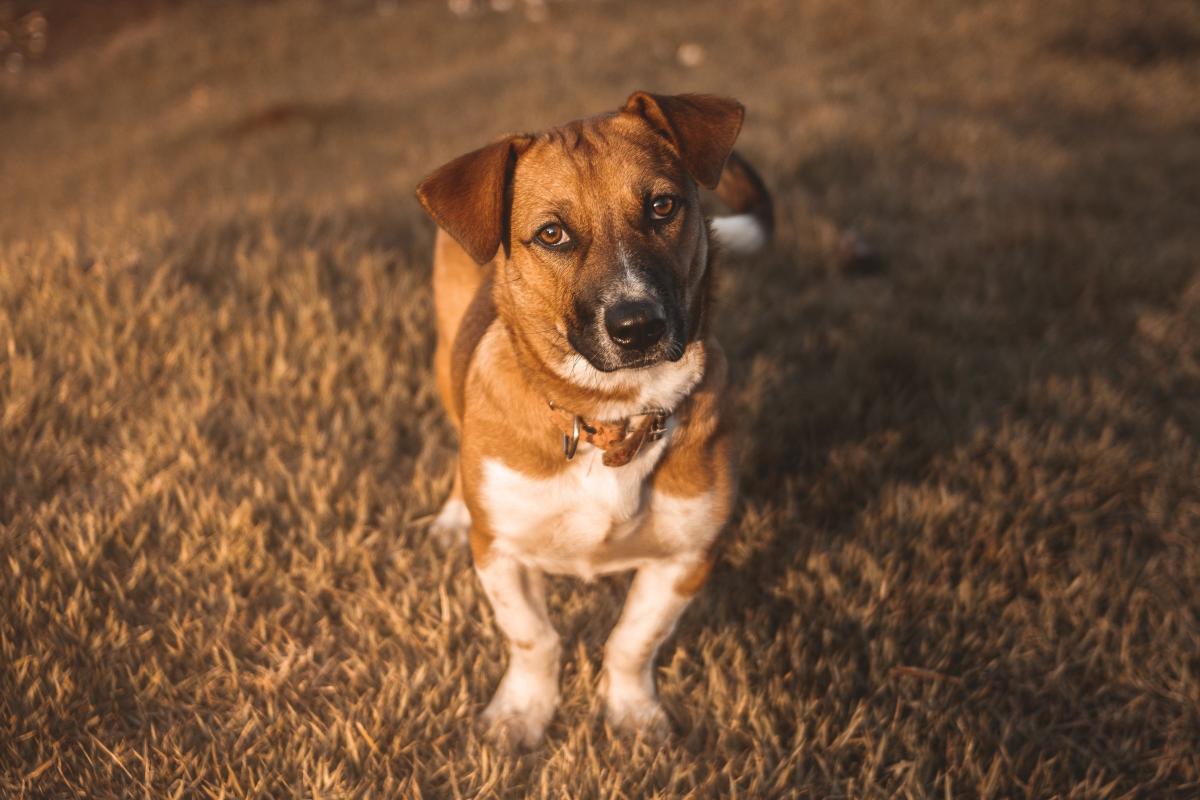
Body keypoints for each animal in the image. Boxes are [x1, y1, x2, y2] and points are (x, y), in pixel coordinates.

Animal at [417, 90, 772, 748]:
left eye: (662, 205)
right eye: (552, 234)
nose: (638, 327)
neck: (614, 416)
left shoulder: (687, 557)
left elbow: (633, 640)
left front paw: (631, 710)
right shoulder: (500, 551)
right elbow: (534, 638)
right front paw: (522, 713)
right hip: (445, 353)